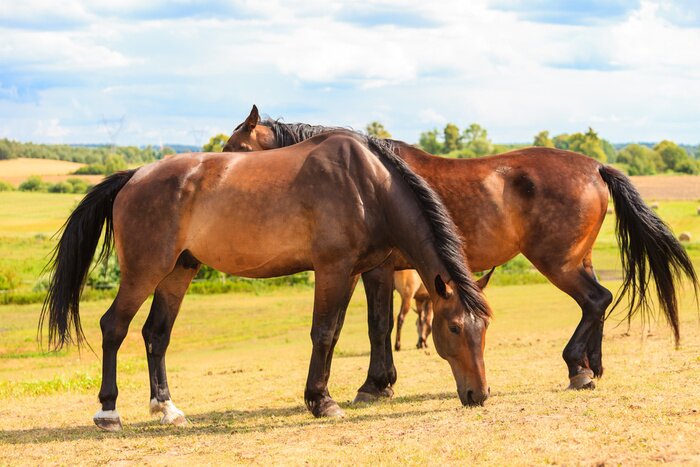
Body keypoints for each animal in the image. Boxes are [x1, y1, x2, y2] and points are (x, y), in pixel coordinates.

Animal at [40, 131, 493, 432]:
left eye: (484, 329)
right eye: (454, 328)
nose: (480, 395)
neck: (366, 185)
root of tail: (134, 176)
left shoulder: (349, 273)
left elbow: (336, 333)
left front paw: (323, 395)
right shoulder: (332, 270)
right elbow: (323, 334)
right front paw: (321, 401)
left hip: (178, 272)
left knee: (156, 334)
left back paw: (167, 409)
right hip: (144, 271)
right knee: (114, 327)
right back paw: (108, 413)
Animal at [222, 105, 698, 401]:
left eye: (234, 150)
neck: (371, 179)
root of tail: (596, 166)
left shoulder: (377, 270)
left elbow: (378, 325)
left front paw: (375, 385)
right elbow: (380, 324)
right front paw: (381, 383)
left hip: (558, 263)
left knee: (596, 300)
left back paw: (576, 367)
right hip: (577, 260)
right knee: (596, 303)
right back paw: (589, 366)